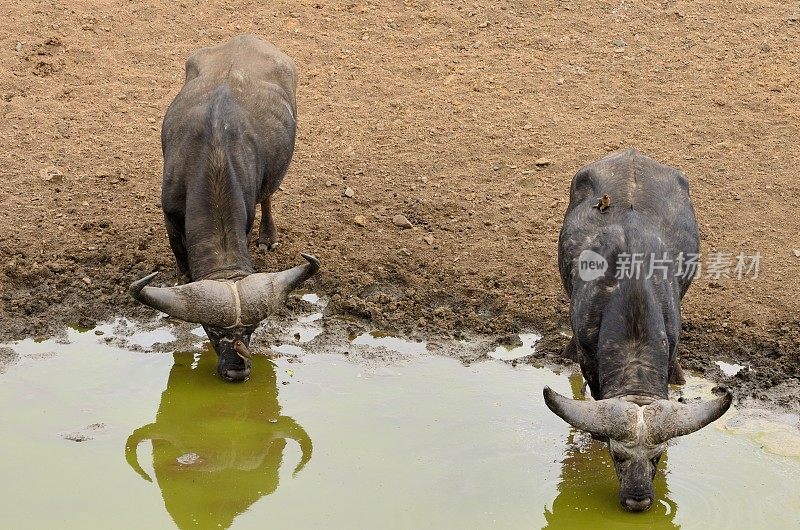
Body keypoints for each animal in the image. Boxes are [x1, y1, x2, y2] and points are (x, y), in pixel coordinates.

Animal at [129, 35, 316, 382]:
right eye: (212, 331)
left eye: (253, 328)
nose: (236, 370)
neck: (212, 158)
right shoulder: (170, 214)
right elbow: (180, 256)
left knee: (268, 196)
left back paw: (268, 237)